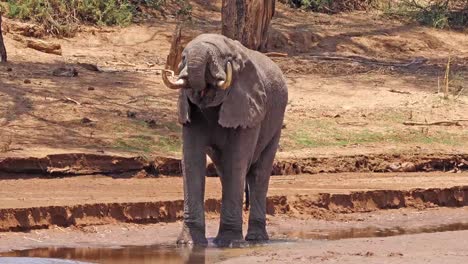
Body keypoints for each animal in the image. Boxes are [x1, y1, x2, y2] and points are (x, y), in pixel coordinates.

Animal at [162, 34, 288, 246]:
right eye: (183, 57)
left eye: (226, 58)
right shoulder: (189, 109)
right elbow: (192, 161)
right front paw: (188, 244)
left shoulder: (248, 107)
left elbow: (236, 161)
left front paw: (230, 242)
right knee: (224, 170)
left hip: (276, 122)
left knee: (258, 173)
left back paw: (256, 239)